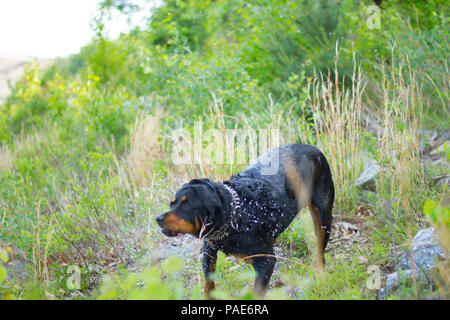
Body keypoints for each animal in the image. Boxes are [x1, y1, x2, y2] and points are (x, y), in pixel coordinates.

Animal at [156, 144, 334, 298]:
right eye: (172, 203)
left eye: (186, 204)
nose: (158, 219)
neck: (236, 213)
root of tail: (314, 149)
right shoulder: (208, 250)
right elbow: (209, 284)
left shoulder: (266, 261)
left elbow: (256, 292)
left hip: (323, 218)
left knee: (320, 254)